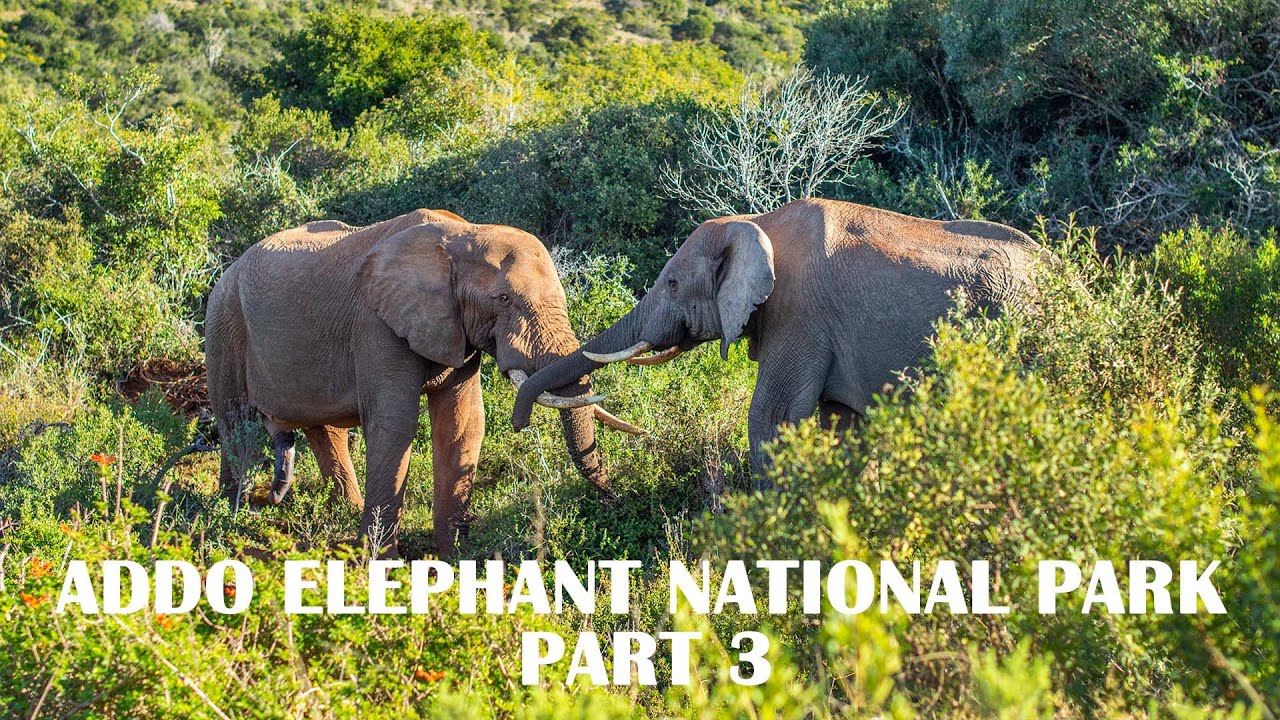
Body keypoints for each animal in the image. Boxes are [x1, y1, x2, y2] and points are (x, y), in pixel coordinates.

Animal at [205, 209, 642, 555]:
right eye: (502, 300)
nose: (617, 499)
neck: (461, 236)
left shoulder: (456, 332)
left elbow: (463, 423)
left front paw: (453, 559)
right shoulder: (376, 324)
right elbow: (394, 425)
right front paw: (381, 565)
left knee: (323, 431)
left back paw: (343, 513)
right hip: (224, 322)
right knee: (235, 425)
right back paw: (228, 517)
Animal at [511, 198, 1048, 484]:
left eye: (672, 284)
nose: (518, 426)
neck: (756, 223)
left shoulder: (801, 315)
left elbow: (772, 417)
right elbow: (838, 424)